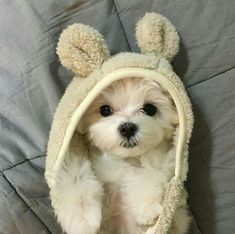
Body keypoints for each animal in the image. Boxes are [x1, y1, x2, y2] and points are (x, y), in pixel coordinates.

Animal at [54, 77, 190, 233]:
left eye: (150, 109)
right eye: (105, 110)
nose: (128, 128)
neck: (122, 159)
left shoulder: (163, 155)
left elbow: (151, 171)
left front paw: (147, 207)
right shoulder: (72, 156)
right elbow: (75, 176)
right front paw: (83, 220)